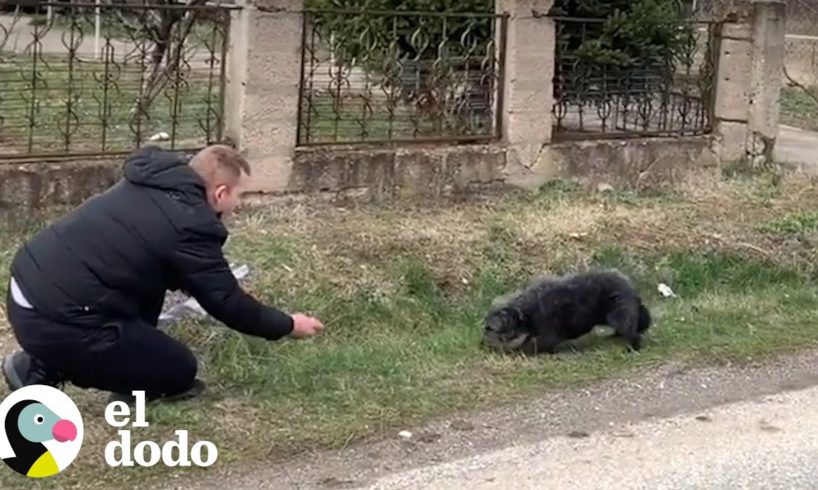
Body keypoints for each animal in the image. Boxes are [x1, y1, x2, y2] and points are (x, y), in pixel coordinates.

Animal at [478, 270, 652, 354]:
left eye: (489, 328)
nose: (480, 343)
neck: (524, 314)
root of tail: (629, 286)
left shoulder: (546, 330)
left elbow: (539, 343)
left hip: (619, 314)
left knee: (631, 330)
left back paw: (632, 347)